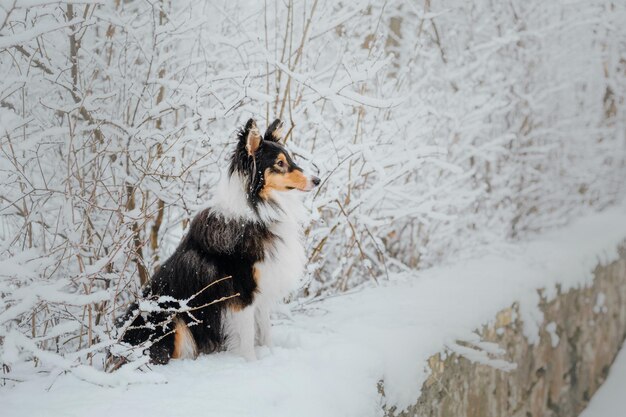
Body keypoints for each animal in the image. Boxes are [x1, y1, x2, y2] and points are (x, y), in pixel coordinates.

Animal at [116, 118, 320, 364]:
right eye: (279, 163)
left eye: (289, 159)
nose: (318, 180)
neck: (256, 211)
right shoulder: (242, 294)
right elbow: (248, 337)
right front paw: (252, 364)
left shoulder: (262, 291)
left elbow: (265, 332)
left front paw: (270, 356)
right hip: (171, 318)